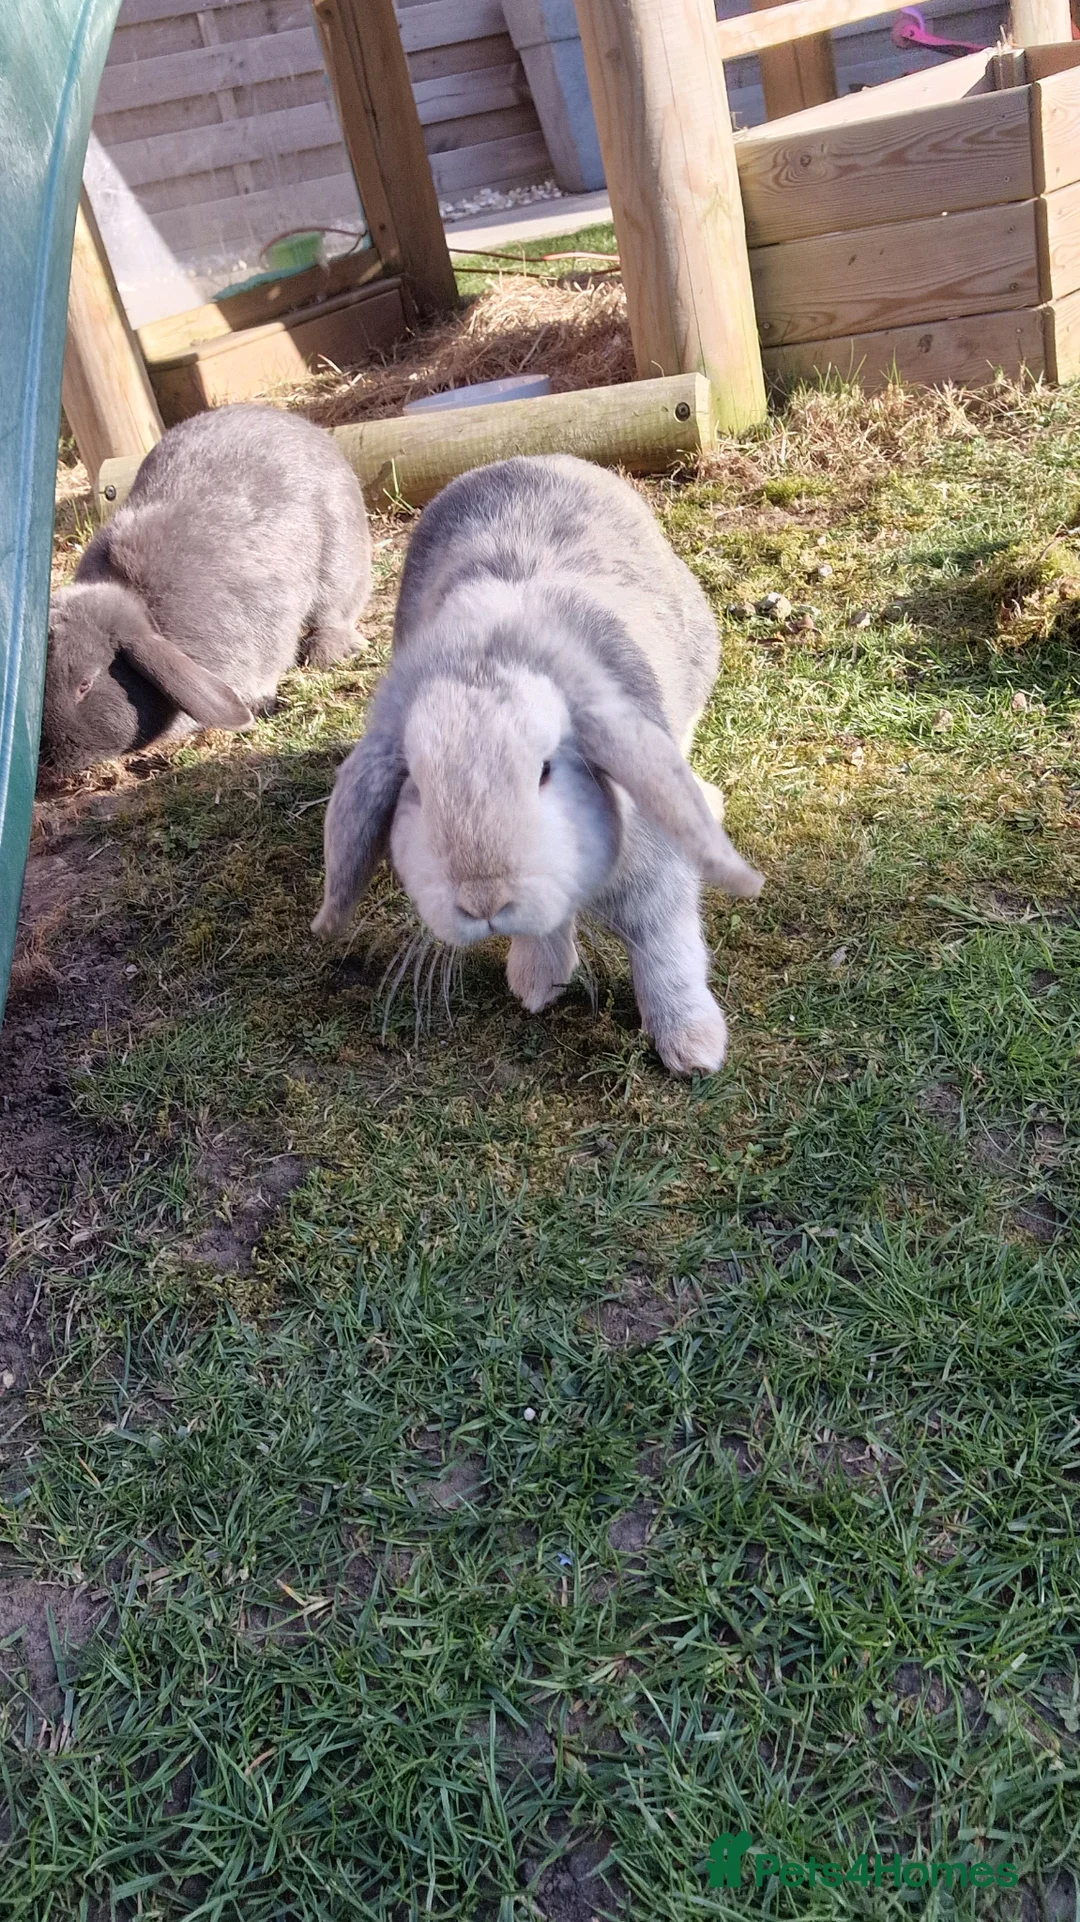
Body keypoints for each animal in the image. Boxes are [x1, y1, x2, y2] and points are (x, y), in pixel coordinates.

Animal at [41, 403, 372, 776]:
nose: (50, 762)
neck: (148, 612)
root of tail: (301, 426)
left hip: (339, 554)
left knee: (335, 610)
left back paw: (328, 650)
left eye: (85, 684)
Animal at [311, 454, 763, 1075]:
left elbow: (666, 949)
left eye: (546, 770)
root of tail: (532, 459)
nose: (484, 901)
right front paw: (536, 983)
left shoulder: (656, 877)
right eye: (417, 789)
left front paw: (693, 1048)